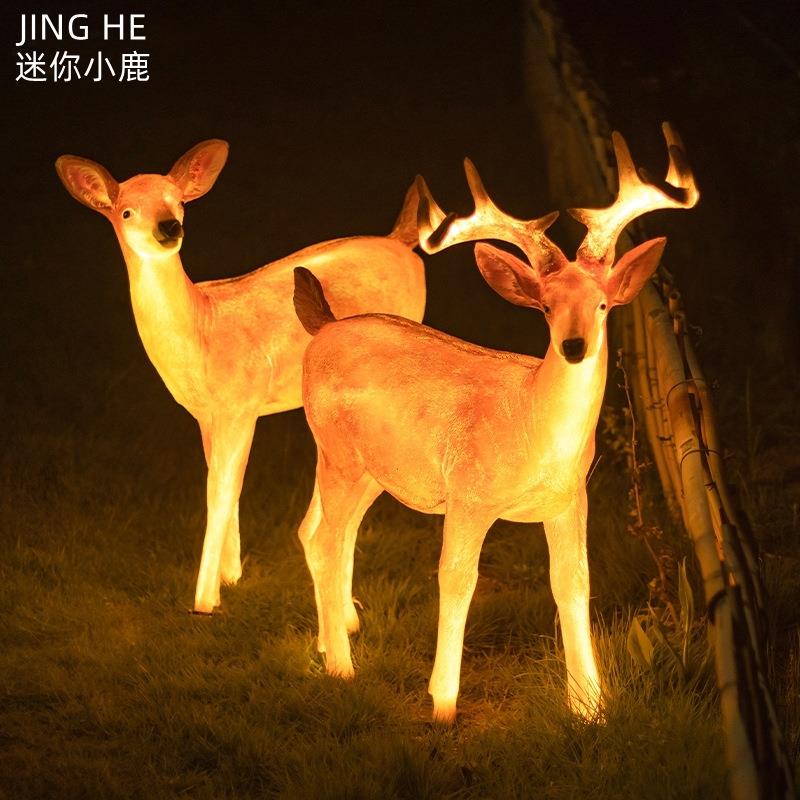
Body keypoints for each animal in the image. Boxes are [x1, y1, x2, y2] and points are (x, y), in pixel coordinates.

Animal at [55, 139, 426, 614]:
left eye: (179, 202)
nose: (168, 227)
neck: (202, 331)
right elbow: (223, 484)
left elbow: (219, 492)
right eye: (126, 211)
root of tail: (402, 242)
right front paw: (230, 577)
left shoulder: (241, 404)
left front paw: (204, 600)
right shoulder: (207, 414)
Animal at [291, 123, 698, 722]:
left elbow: (573, 583)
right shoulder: (468, 494)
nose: (573, 346)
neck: (530, 429)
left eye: (602, 304)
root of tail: (324, 327)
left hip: (371, 470)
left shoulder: (570, 498)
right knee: (325, 538)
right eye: (546, 307)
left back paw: (333, 636)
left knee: (322, 531)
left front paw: (589, 705)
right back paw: (343, 668)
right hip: (337, 452)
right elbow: (457, 580)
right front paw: (442, 701)